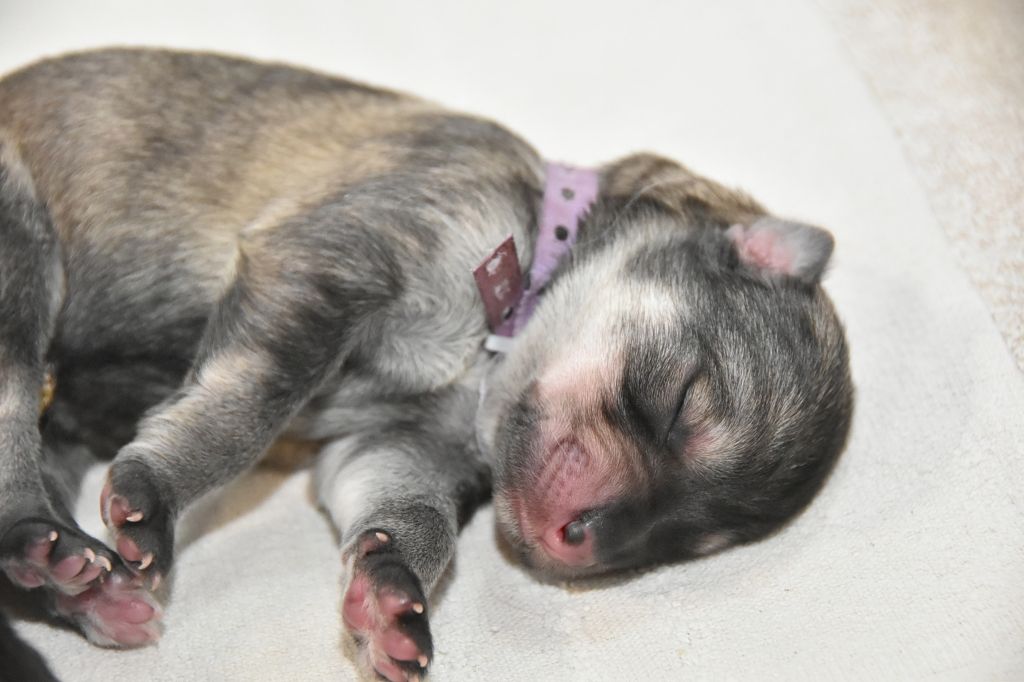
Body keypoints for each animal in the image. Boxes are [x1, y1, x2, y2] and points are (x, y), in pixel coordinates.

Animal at [0, 48, 852, 680]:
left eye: (684, 541)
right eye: (678, 403)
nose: (577, 540)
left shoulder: (388, 445)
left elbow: (415, 516)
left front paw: (387, 592)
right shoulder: (327, 268)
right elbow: (247, 407)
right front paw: (156, 491)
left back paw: (75, 582)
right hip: (21, 261)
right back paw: (64, 557)